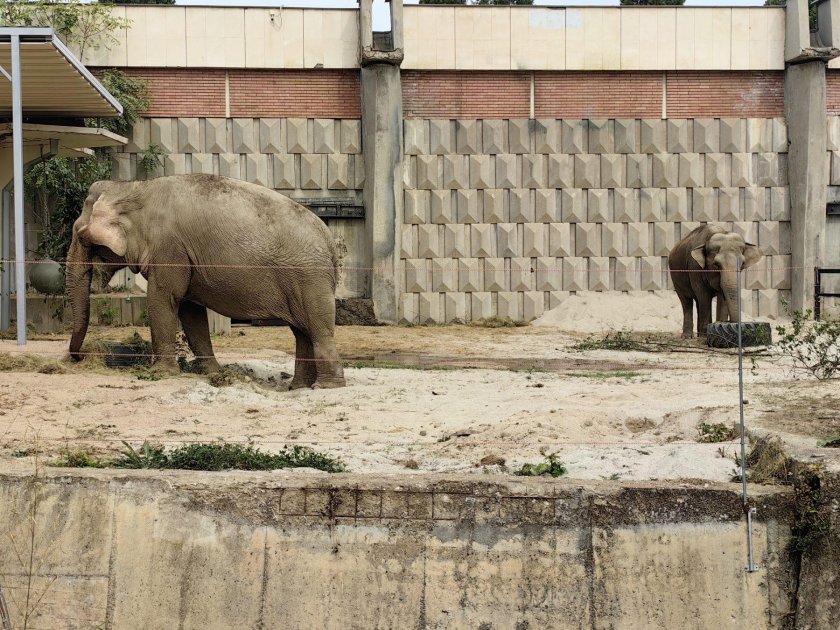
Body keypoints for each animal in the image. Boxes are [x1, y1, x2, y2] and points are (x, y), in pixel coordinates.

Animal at [65, 174, 348, 390]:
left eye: (80, 235)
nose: (79, 357)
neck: (134, 186)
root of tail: (331, 242)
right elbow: (190, 312)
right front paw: (212, 372)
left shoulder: (169, 248)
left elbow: (163, 299)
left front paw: (161, 373)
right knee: (302, 331)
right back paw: (298, 387)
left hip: (309, 278)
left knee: (318, 328)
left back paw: (325, 387)